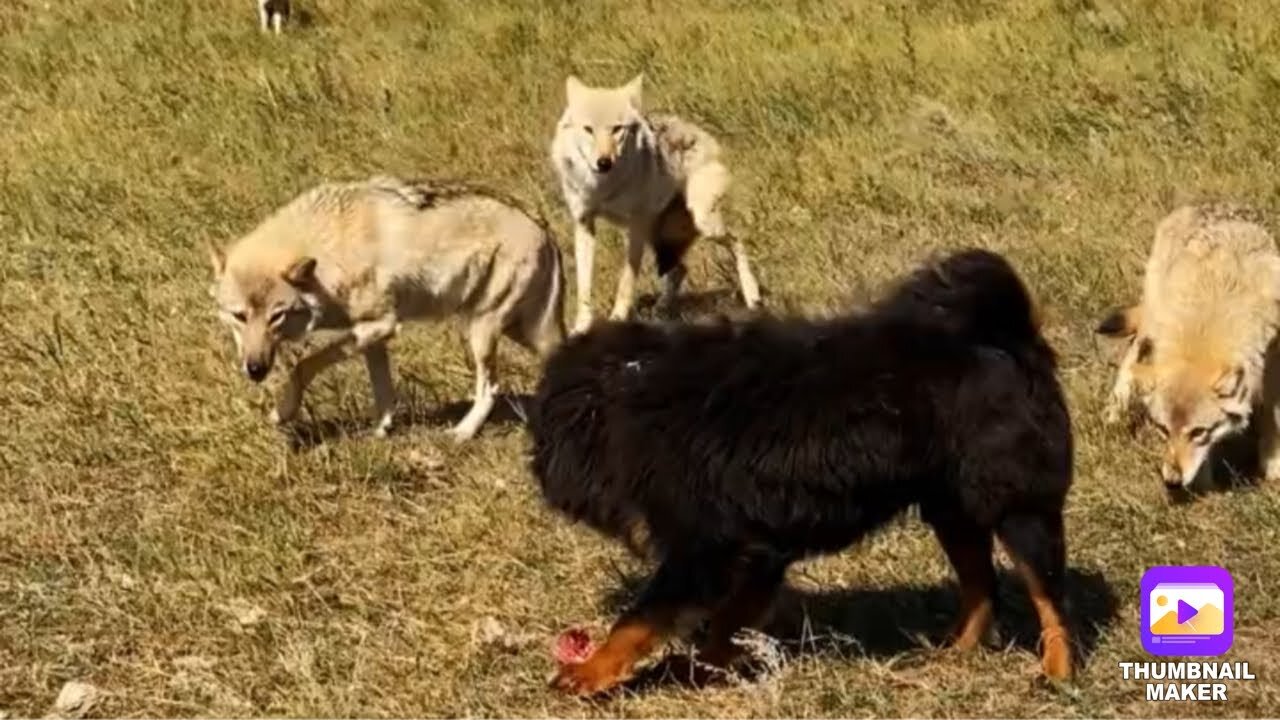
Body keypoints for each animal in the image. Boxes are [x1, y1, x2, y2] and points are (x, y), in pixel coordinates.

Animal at [211, 176, 565, 440]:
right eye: (239, 316)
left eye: (277, 317)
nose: (255, 370)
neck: (328, 250)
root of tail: (543, 225)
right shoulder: (373, 336)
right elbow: (382, 390)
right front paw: (382, 431)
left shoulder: (380, 325)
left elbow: (303, 365)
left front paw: (282, 412)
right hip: (520, 330)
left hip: (482, 331)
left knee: (490, 387)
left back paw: (462, 433)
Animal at [524, 245, 1075, 691]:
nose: (538, 467)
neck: (632, 389)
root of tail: (1009, 338)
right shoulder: (758, 549)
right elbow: (726, 622)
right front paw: (713, 667)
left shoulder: (706, 550)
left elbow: (639, 619)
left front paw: (590, 672)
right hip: (952, 508)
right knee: (983, 588)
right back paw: (952, 654)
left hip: (1017, 507)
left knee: (1048, 595)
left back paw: (1056, 671)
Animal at [547, 74, 757, 333]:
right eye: (588, 129)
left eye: (617, 129)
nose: (604, 162)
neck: (602, 187)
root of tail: (702, 134)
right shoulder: (584, 223)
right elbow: (584, 288)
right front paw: (581, 328)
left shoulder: (634, 228)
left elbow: (625, 283)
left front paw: (617, 321)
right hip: (658, 235)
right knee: (679, 269)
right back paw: (661, 311)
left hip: (702, 223)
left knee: (738, 242)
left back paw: (753, 297)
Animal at [1095, 204, 1280, 489]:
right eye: (1162, 430)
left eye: (1198, 432)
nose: (1172, 481)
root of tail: (1200, 205)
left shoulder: (1270, 360)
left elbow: (1273, 415)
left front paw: (1273, 464)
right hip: (1153, 321)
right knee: (1131, 356)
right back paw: (1114, 412)